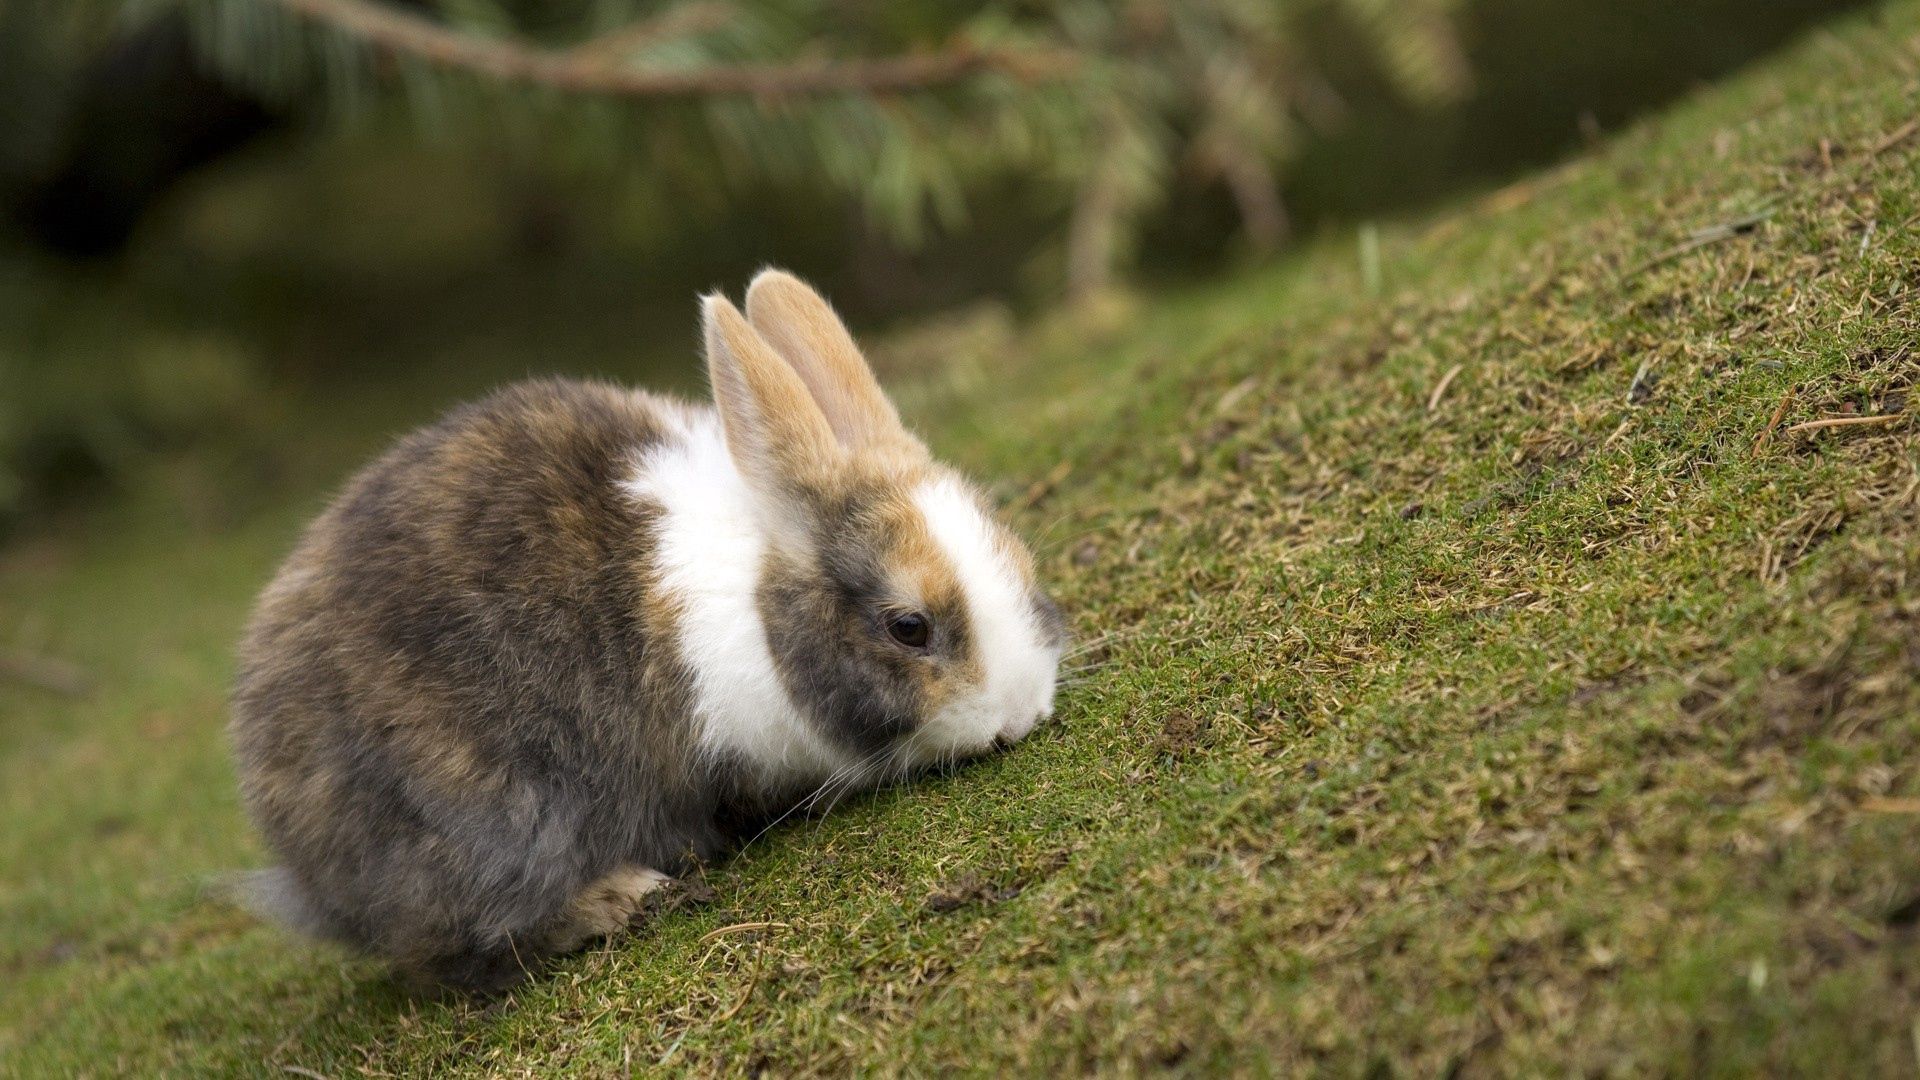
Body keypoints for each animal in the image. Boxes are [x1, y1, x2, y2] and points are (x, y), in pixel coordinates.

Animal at [230, 267, 1067, 983]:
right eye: (907, 627)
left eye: (1019, 558)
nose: (1021, 715)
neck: (762, 601)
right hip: (494, 823)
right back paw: (622, 897)